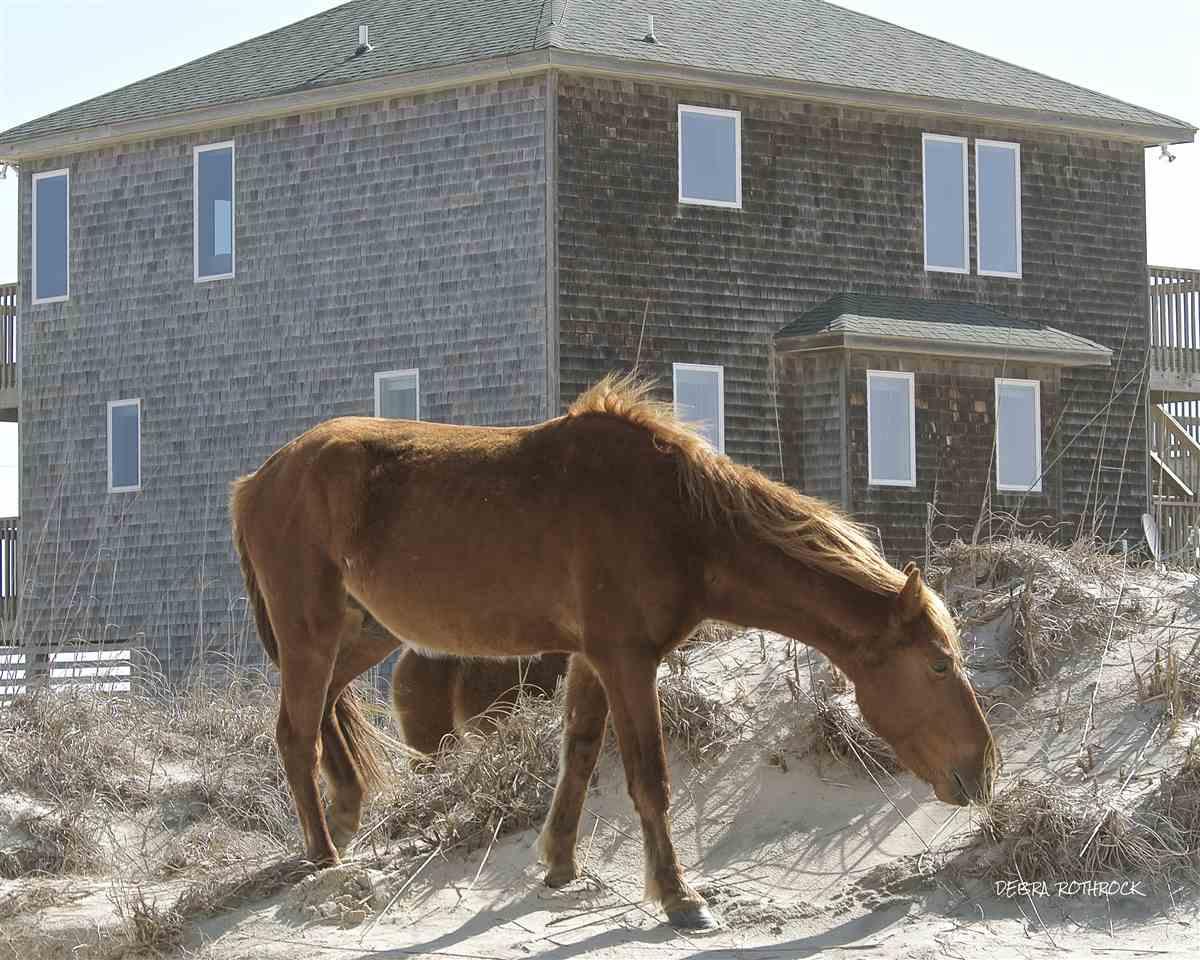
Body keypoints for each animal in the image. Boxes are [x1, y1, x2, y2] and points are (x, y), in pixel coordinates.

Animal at [229, 372, 998, 931]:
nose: (982, 771)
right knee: (295, 733)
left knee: (327, 712)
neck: (680, 520)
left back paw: (345, 818)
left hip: (361, 634)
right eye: (938, 664)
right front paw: (680, 896)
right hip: (311, 632)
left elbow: (577, 755)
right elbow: (648, 777)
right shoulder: (628, 659)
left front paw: (560, 864)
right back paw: (324, 854)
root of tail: (256, 480)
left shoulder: (592, 659)